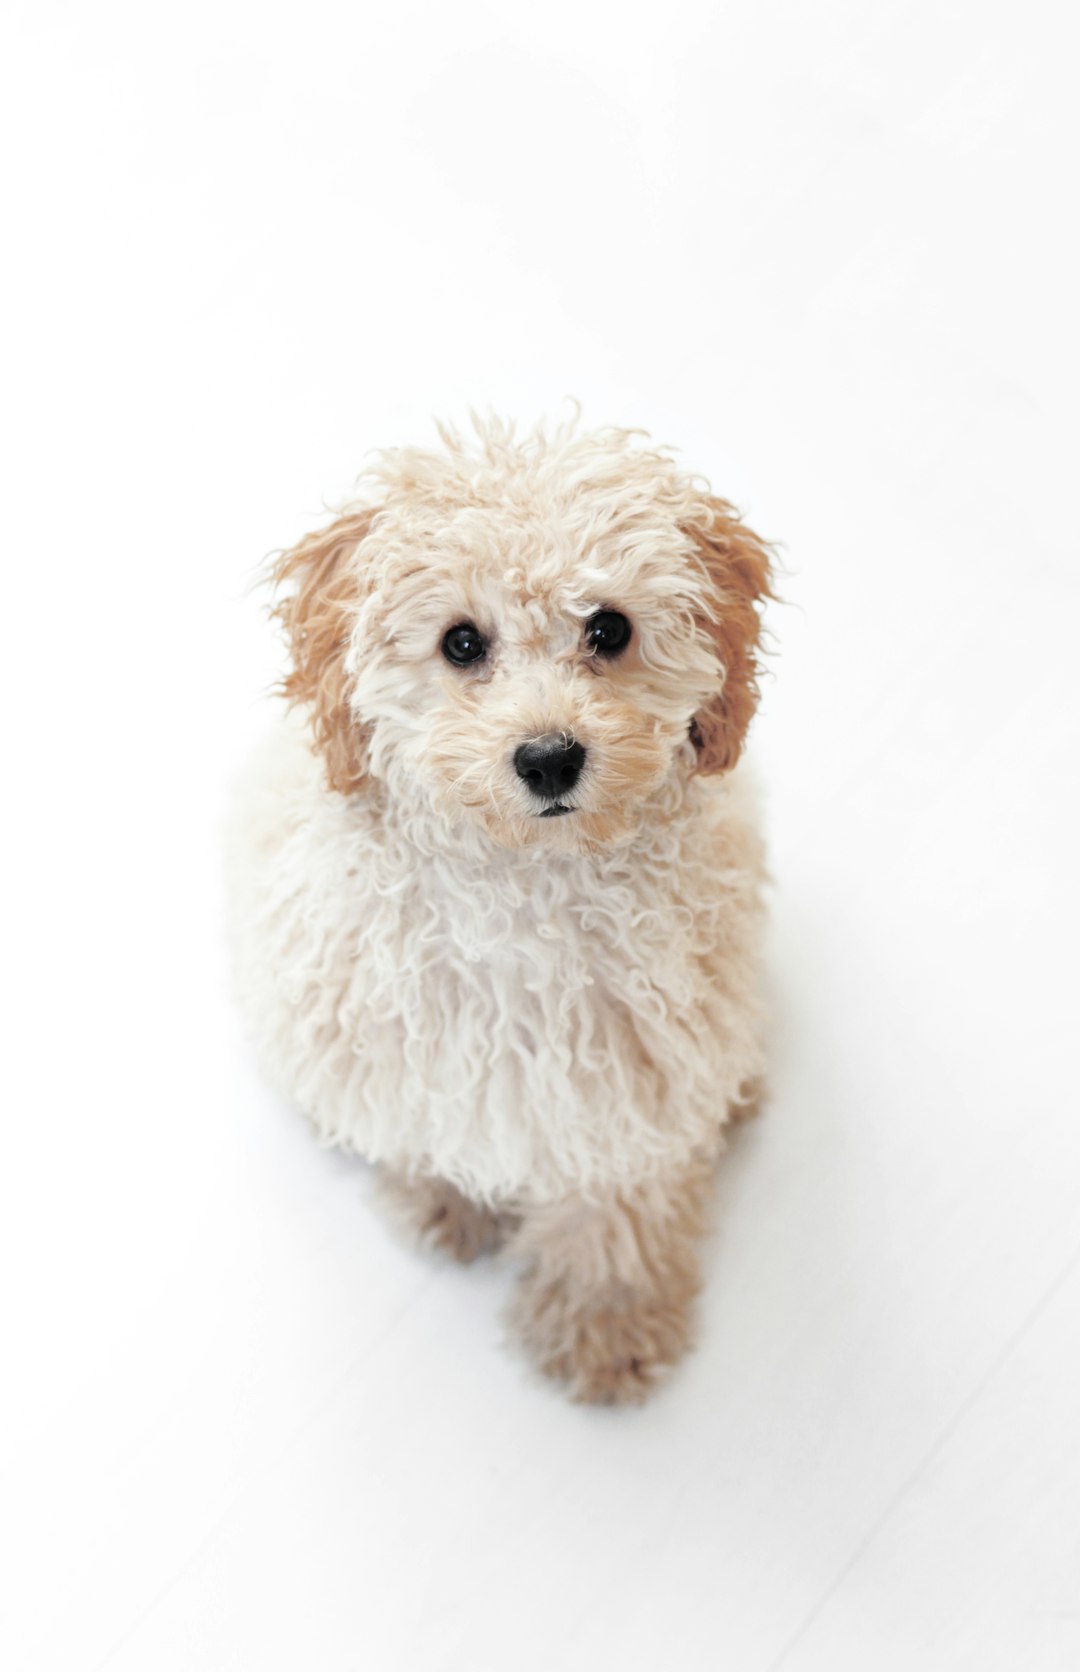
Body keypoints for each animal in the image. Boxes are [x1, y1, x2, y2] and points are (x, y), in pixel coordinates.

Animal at [229, 414, 775, 1397]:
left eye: (609, 628)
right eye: (460, 642)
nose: (550, 758)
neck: (527, 888)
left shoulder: (634, 1079)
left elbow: (617, 1205)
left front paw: (605, 1321)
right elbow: (425, 1128)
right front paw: (442, 1199)